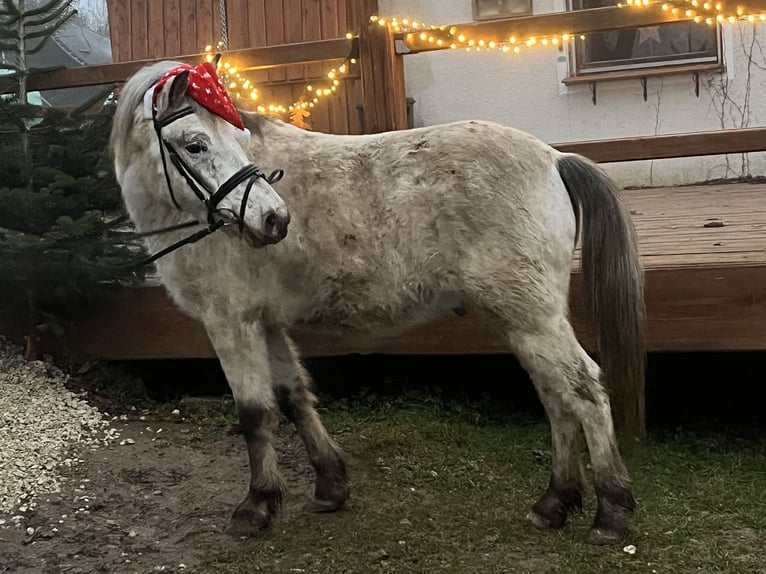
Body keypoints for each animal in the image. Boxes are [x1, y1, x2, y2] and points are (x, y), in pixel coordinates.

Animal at [110, 59, 645, 546]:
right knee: (556, 396)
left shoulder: (230, 322)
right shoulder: (266, 322)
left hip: (533, 318)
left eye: (228, 143)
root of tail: (554, 158)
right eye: (195, 144)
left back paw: (611, 513)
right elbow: (293, 398)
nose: (274, 220)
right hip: (524, 319)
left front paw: (257, 505)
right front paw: (329, 486)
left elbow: (254, 413)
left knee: (583, 390)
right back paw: (554, 503)